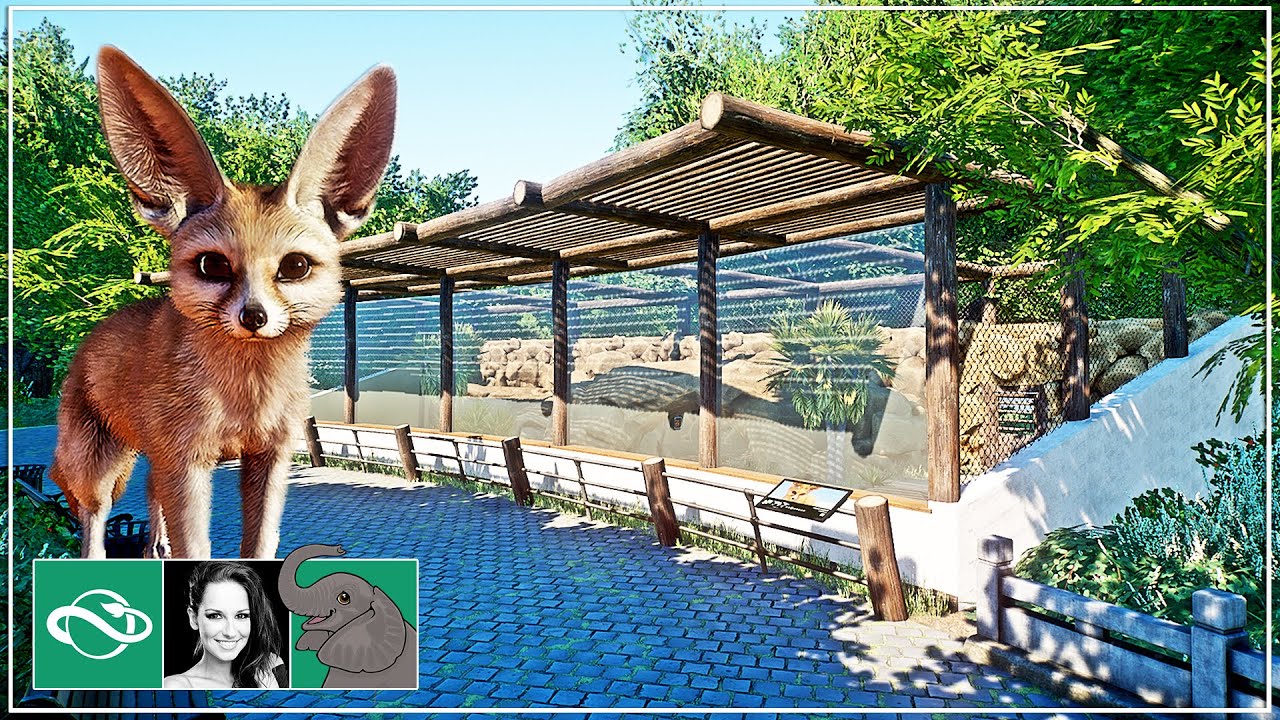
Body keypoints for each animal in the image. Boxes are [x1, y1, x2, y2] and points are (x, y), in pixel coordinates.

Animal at [50, 46, 396, 559]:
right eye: (213, 265)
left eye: (295, 266)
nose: (254, 315)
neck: (246, 398)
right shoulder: (186, 459)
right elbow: (197, 548)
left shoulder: (270, 455)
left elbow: (260, 544)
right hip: (97, 462)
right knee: (94, 515)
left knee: (148, 491)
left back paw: (155, 547)